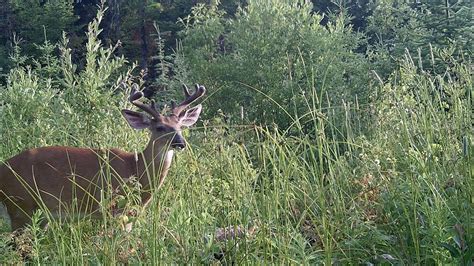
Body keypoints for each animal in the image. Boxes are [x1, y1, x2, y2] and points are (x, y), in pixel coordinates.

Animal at [0, 83, 206, 231]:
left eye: (180, 126)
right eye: (160, 128)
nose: (180, 143)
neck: (136, 168)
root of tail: (3, 167)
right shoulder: (113, 208)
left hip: (39, 214)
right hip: (20, 205)